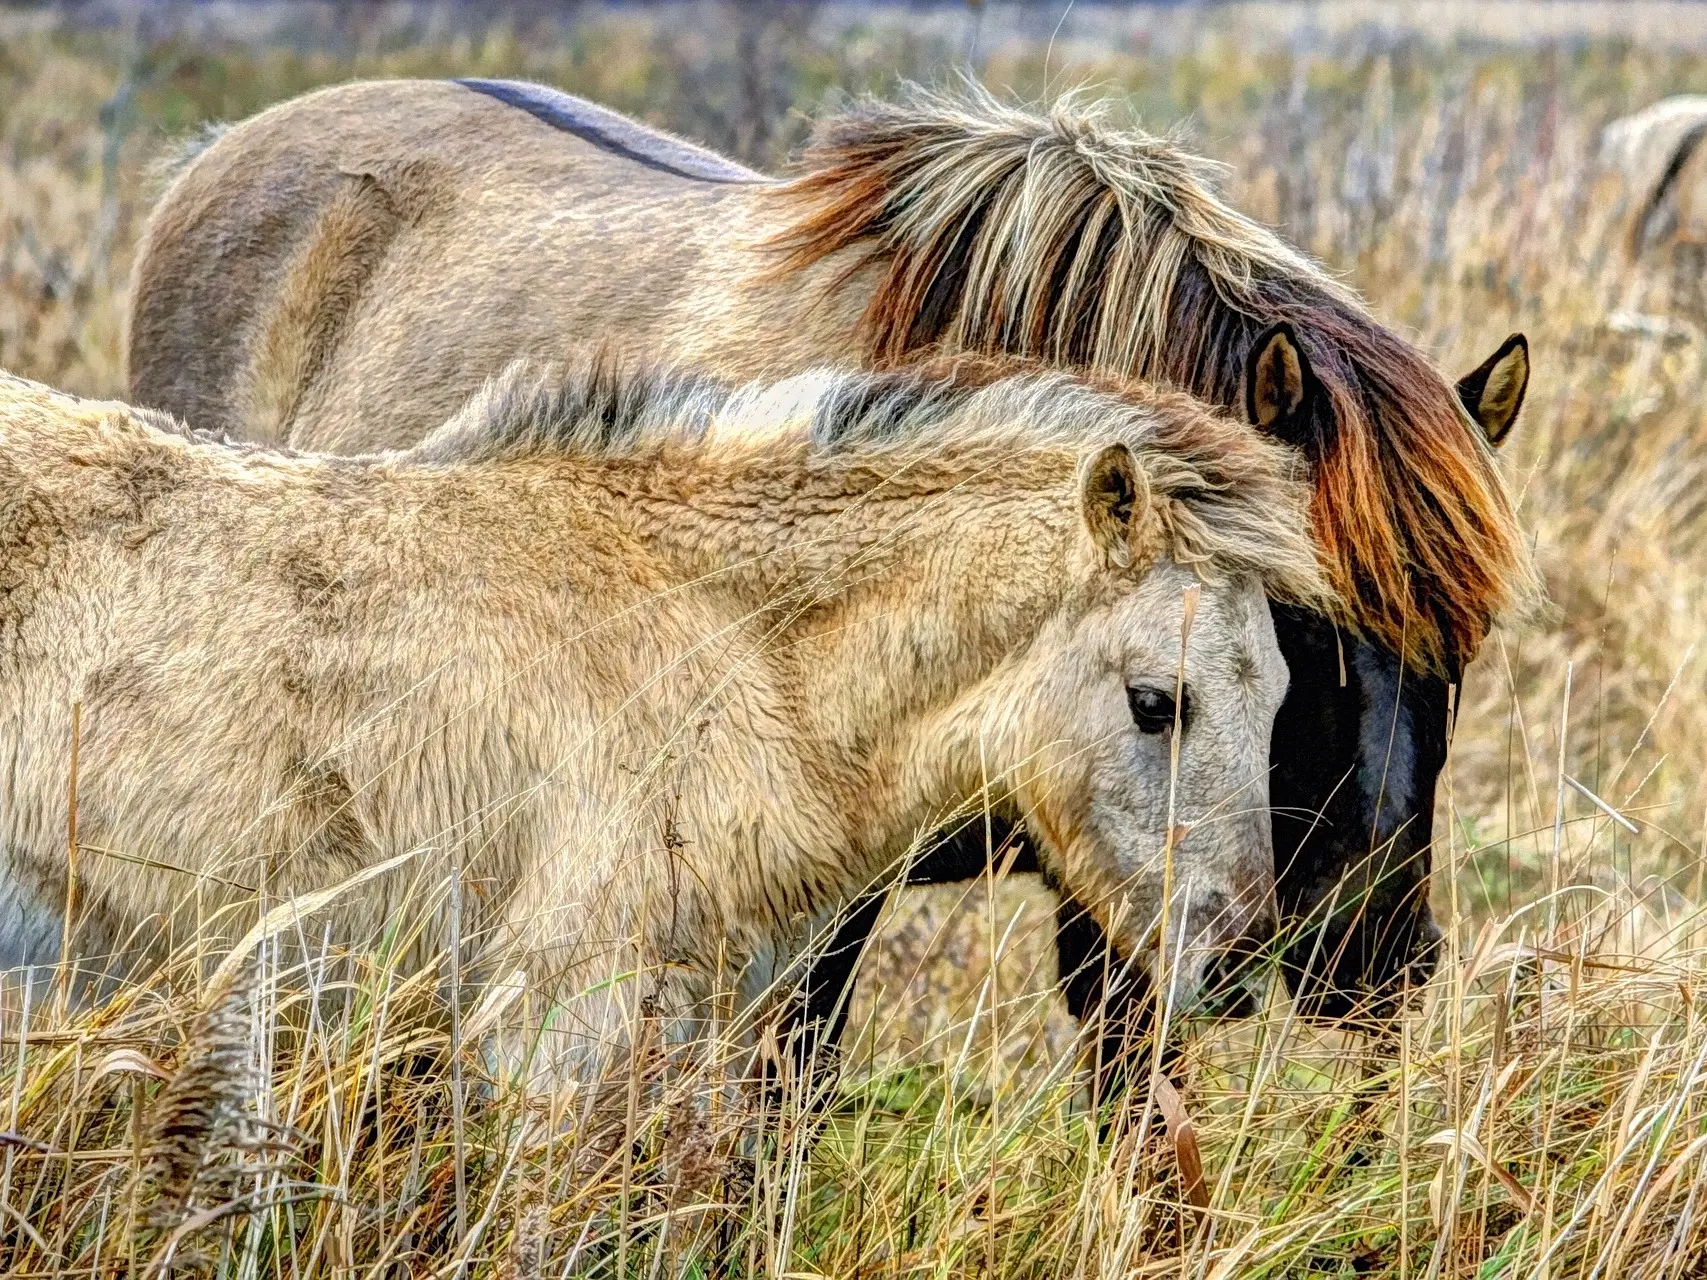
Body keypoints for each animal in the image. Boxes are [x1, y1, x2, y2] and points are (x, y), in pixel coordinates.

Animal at [126, 80, 1543, 1064]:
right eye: (1304, 627)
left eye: (1465, 649)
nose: (1376, 960)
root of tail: (218, 154)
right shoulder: (806, 895)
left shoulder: (1120, 890)